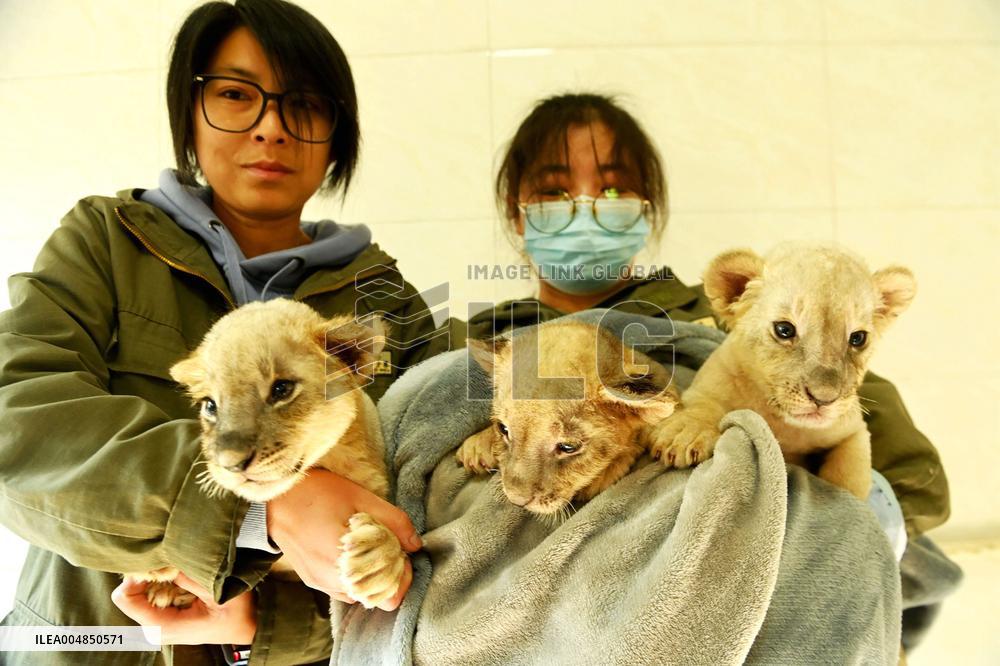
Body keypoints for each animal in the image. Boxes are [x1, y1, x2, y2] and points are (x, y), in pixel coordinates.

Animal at [643, 242, 916, 499]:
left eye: (858, 338)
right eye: (784, 330)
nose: (824, 399)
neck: (785, 424)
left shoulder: (853, 430)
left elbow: (850, 474)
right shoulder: (710, 381)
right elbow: (704, 404)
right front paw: (683, 434)